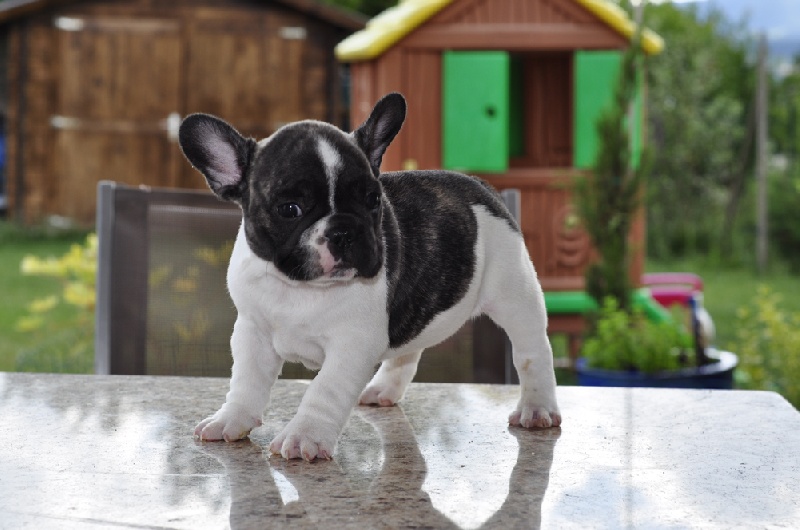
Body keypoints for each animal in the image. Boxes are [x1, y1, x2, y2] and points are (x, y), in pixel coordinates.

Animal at [178, 93, 561, 461]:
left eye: (373, 199)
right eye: (289, 209)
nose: (344, 231)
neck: (301, 288)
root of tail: (482, 187)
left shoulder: (353, 344)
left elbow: (324, 389)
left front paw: (305, 437)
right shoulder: (252, 331)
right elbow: (246, 380)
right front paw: (231, 419)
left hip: (514, 292)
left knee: (532, 350)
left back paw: (537, 408)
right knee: (408, 351)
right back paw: (383, 390)